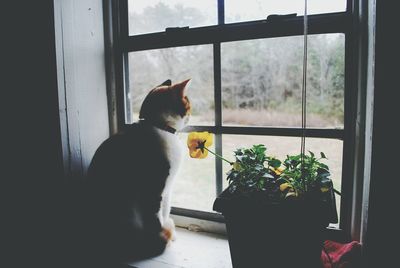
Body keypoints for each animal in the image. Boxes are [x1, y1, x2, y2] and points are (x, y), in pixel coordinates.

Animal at [85, 78, 191, 262]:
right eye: (188, 104)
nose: (191, 115)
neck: (158, 126)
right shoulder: (155, 189)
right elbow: (157, 218)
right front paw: (163, 236)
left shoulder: (168, 189)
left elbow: (165, 211)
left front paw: (168, 231)